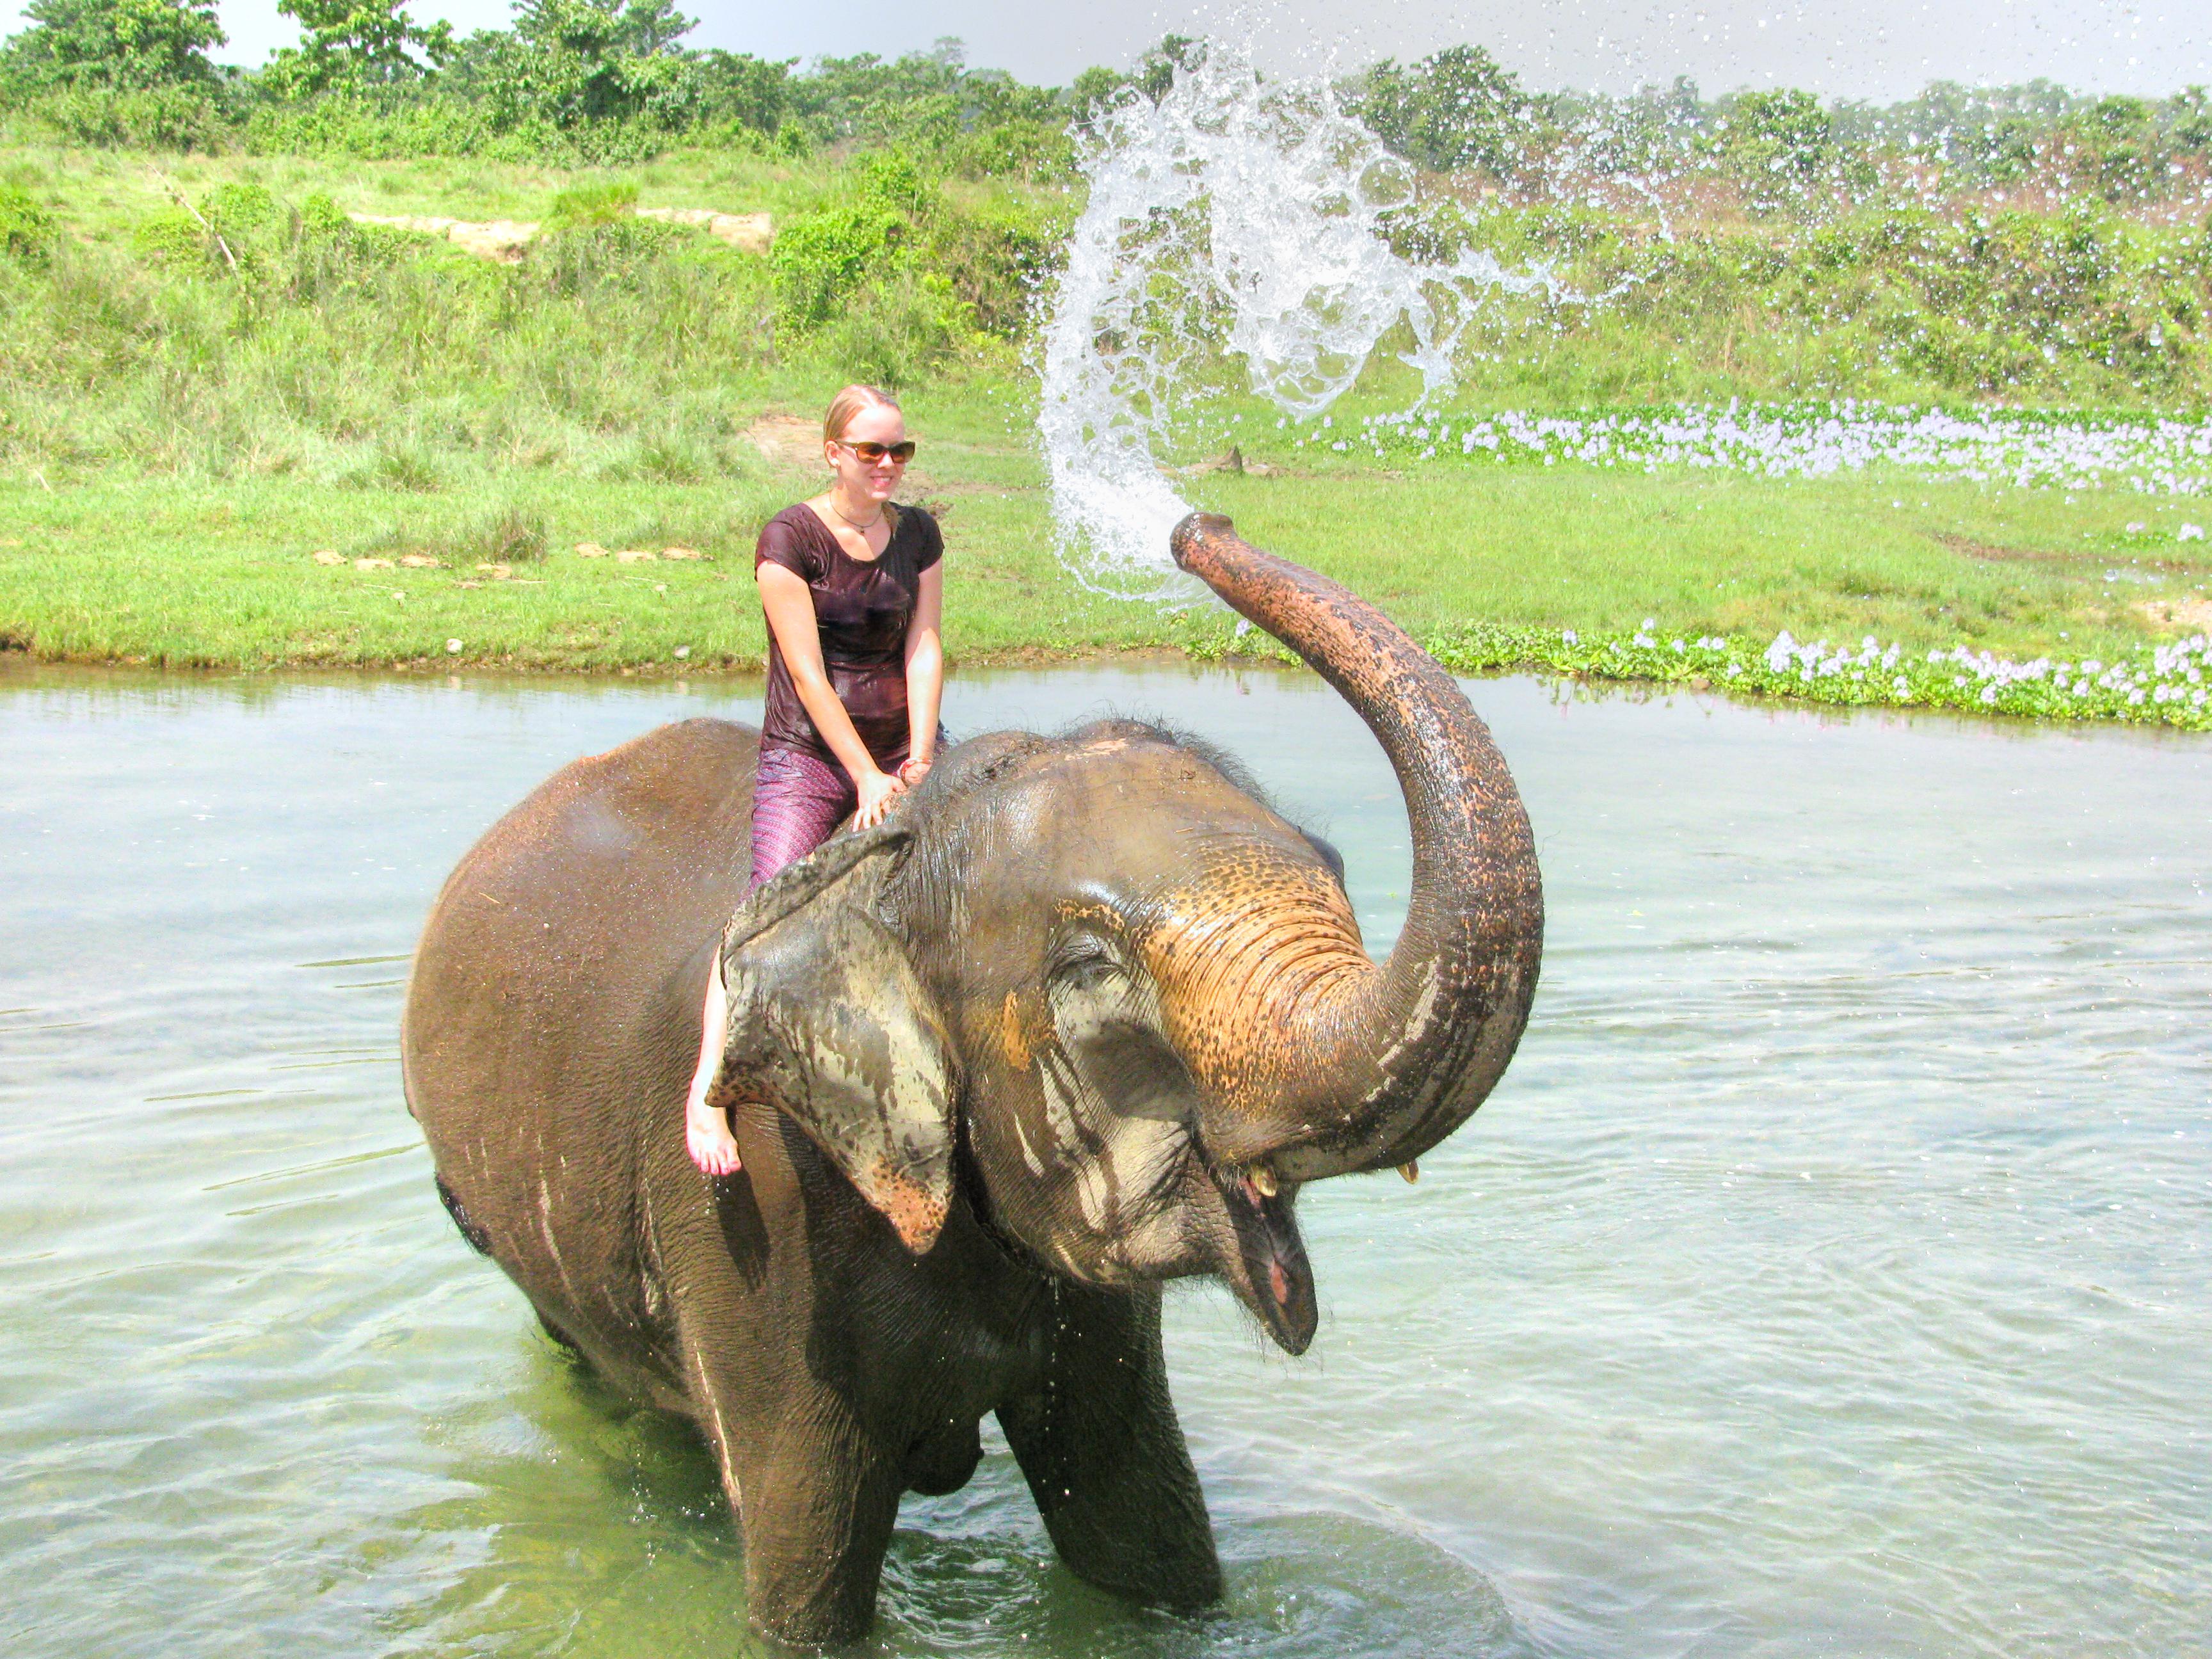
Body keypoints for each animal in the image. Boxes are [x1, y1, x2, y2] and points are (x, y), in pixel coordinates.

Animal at [400, 513, 1544, 1645]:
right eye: (1088, 967)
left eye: (1334, 866)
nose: (1196, 525)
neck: (888, 868)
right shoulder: (759, 1215)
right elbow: (809, 1583)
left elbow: (1138, 1527)